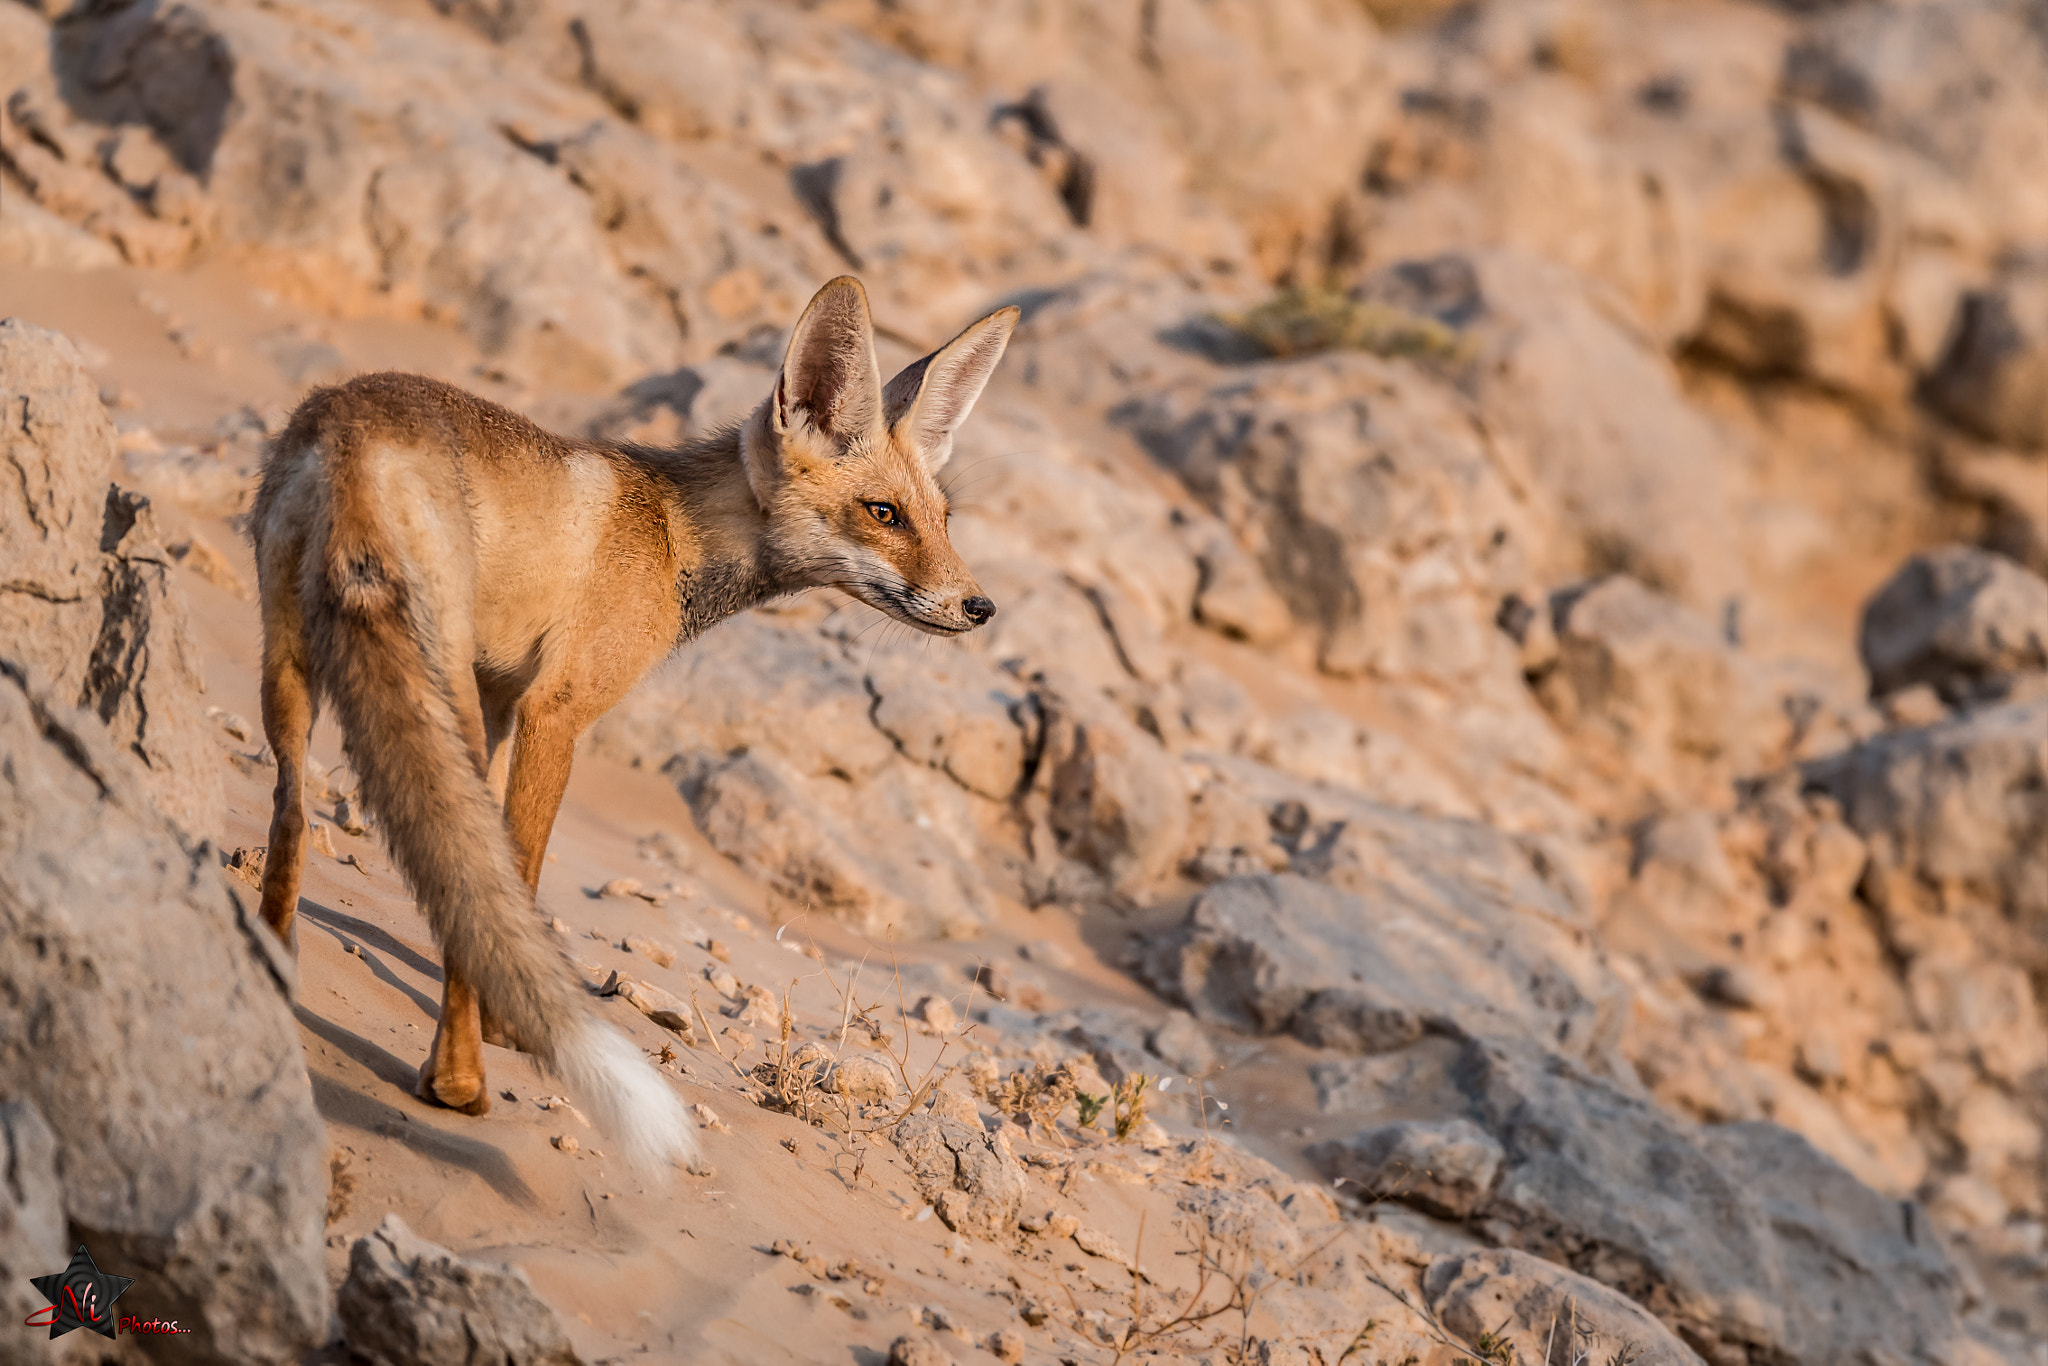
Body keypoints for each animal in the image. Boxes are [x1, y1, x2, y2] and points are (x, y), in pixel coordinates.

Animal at [253, 280, 1015, 1179]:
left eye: (944, 517)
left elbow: (494, 877)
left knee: (295, 816)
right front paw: (513, 1025)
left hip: (294, 668)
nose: (980, 607)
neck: (671, 537)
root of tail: (354, 434)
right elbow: (515, 872)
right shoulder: (557, 709)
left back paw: (272, 968)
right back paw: (457, 1082)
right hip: (442, 698)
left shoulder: (503, 697)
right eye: (883, 513)